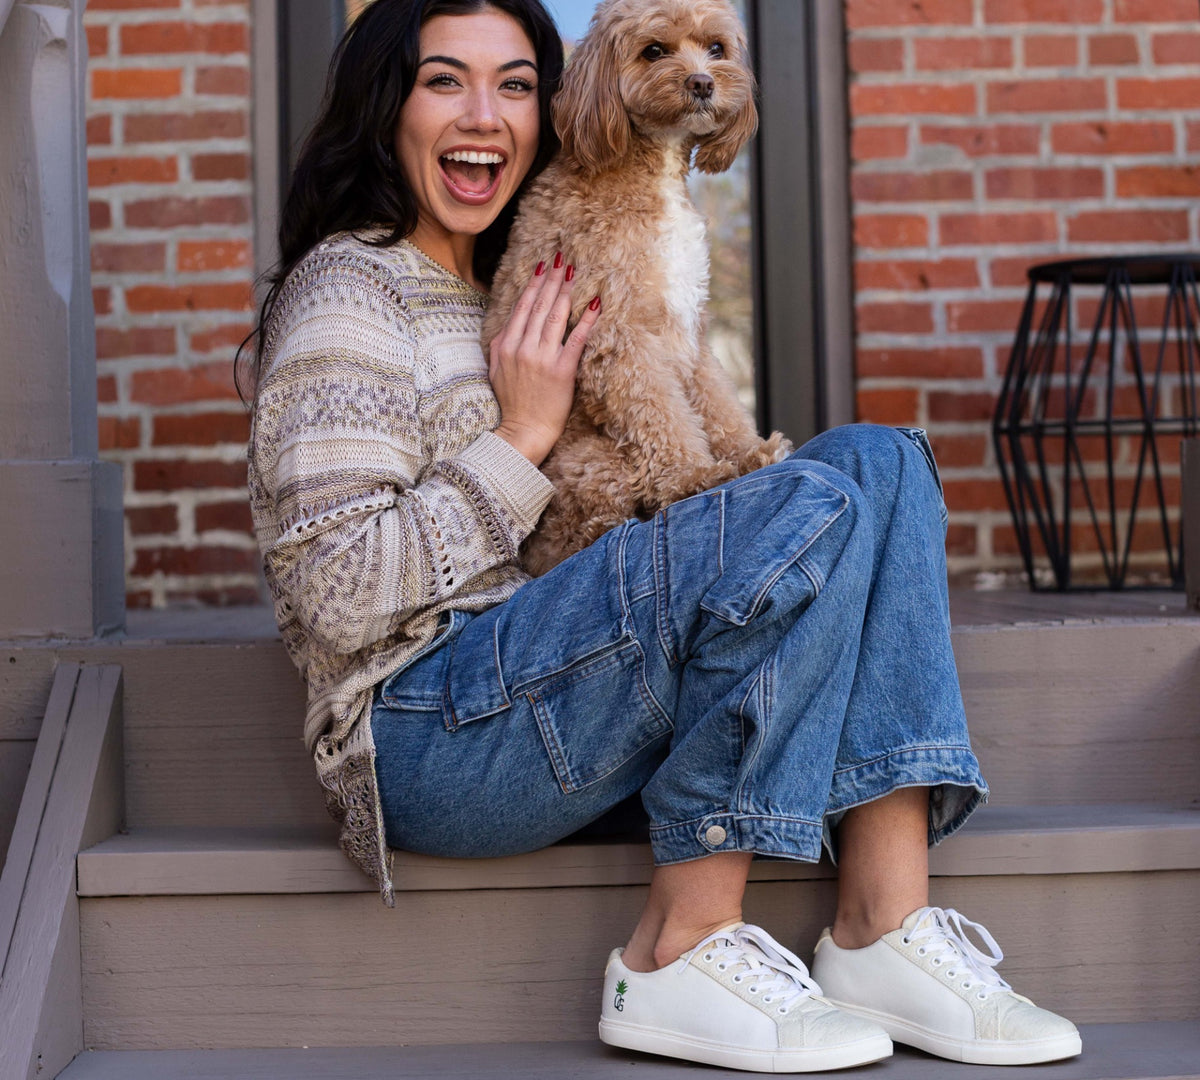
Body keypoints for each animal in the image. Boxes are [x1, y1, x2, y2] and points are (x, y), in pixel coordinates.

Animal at [482, 0, 792, 573]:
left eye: (716, 48)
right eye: (653, 51)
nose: (702, 82)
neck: (651, 170)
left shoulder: (690, 331)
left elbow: (718, 404)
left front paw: (748, 453)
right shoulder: (615, 332)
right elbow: (658, 415)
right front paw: (696, 476)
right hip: (591, 461)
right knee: (577, 534)